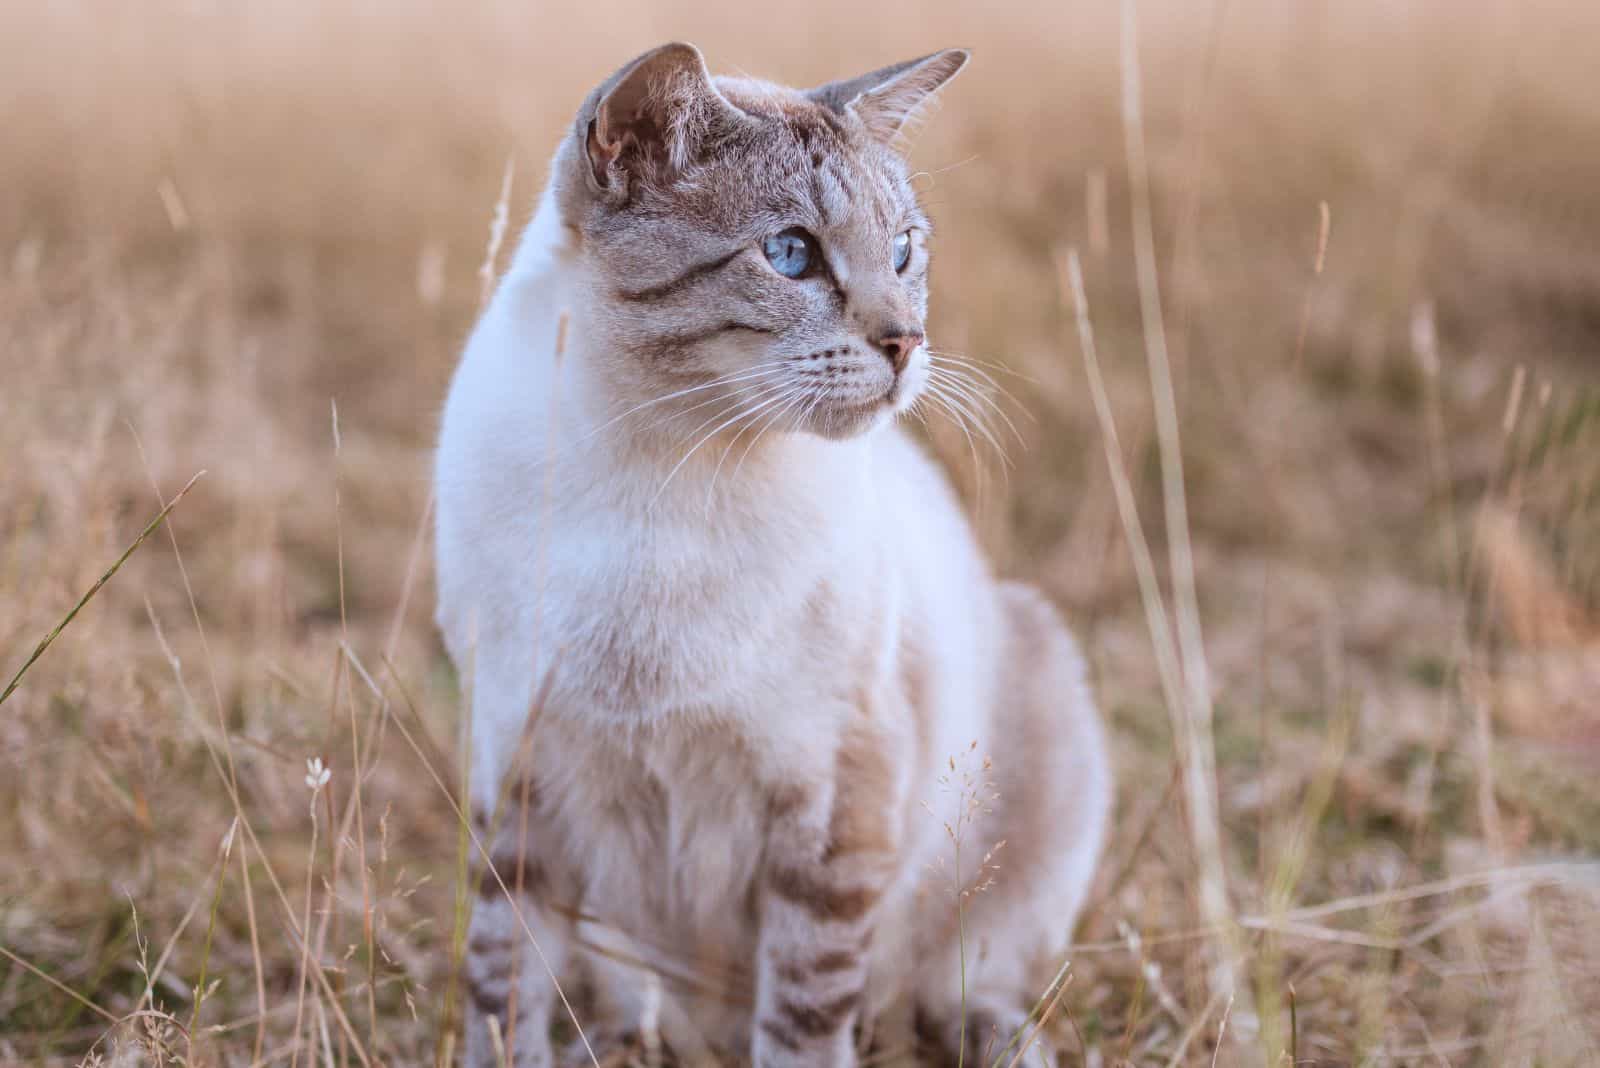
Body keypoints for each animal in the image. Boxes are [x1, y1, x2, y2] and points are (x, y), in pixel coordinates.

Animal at [438, 41, 1113, 1068]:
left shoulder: (832, 804)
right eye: (791, 254)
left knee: (959, 984)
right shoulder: (517, 775)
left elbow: (801, 1018)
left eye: (904, 251)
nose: (907, 342)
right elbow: (500, 995)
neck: (664, 475)